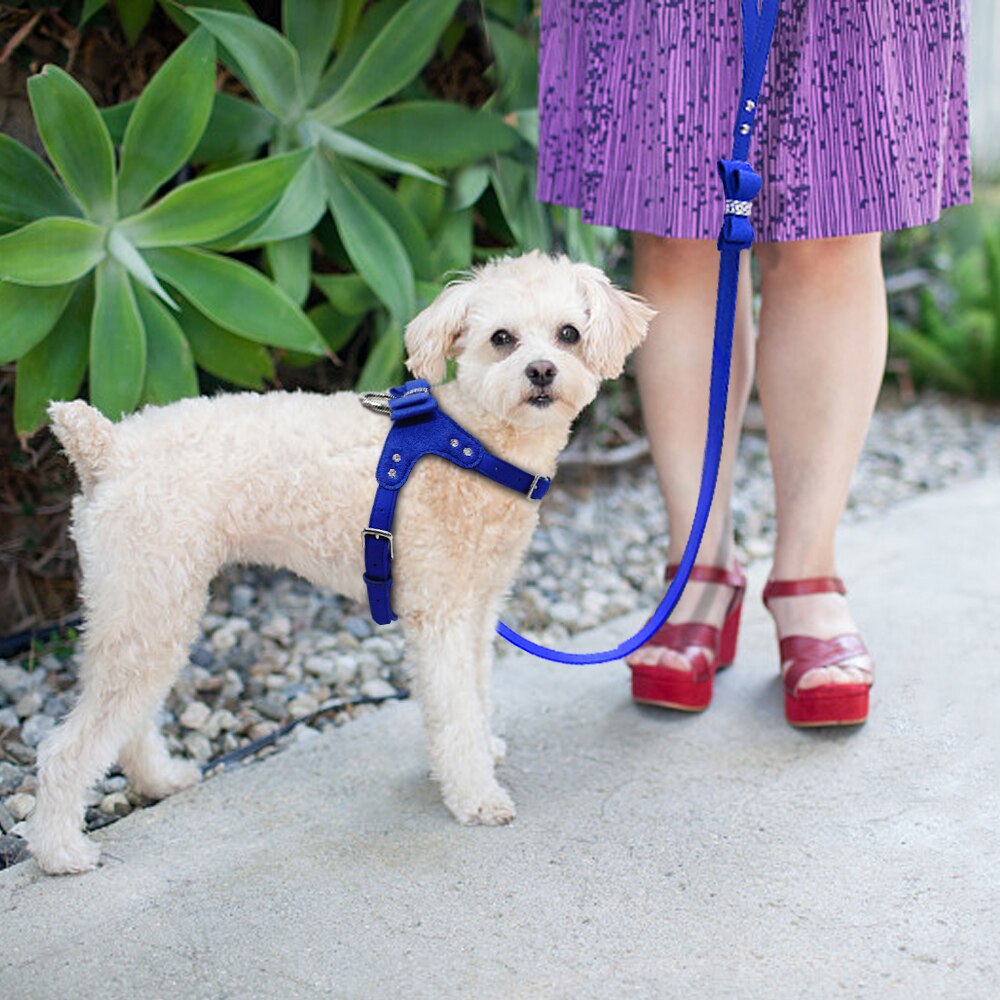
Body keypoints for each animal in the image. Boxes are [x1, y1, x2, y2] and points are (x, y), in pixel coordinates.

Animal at [27, 252, 652, 876]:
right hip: (148, 608)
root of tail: (107, 447)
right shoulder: (442, 617)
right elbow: (455, 708)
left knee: (130, 720)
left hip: (152, 608)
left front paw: (483, 748)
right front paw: (475, 795)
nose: (542, 371)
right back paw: (60, 849)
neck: (474, 446)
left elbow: (475, 694)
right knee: (65, 747)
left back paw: (159, 779)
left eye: (569, 334)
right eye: (502, 339)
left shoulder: (477, 610)